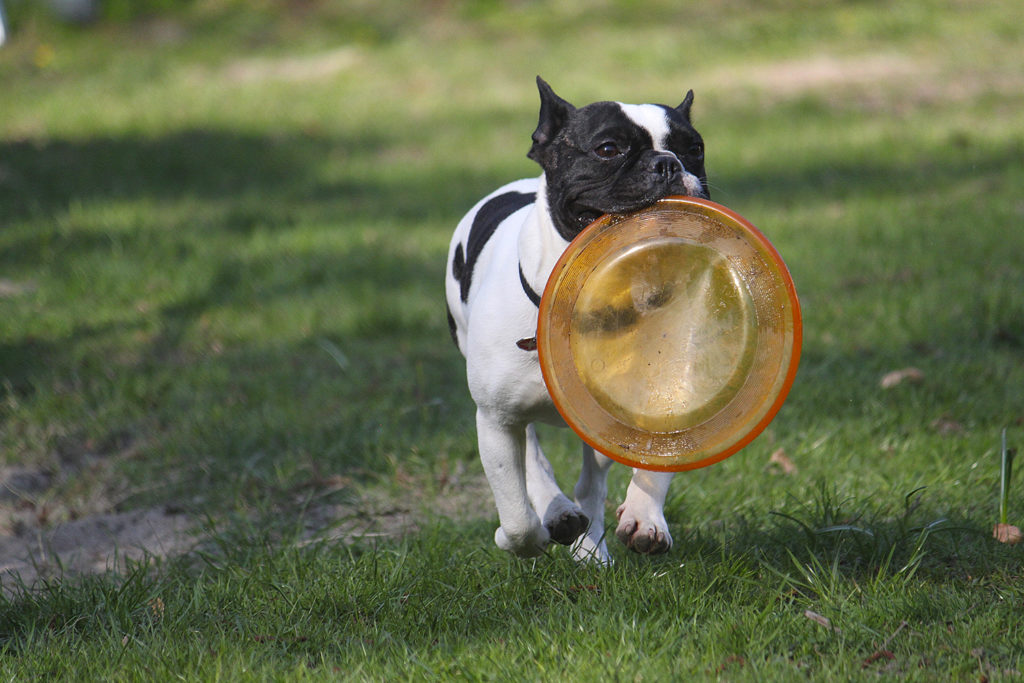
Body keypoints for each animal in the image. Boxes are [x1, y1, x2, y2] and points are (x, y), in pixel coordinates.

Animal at [444, 77, 708, 565]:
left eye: (694, 148)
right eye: (608, 149)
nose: (669, 163)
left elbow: (652, 465)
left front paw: (643, 516)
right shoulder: (495, 420)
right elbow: (518, 516)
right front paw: (522, 534)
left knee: (592, 480)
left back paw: (591, 548)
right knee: (535, 459)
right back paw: (560, 513)